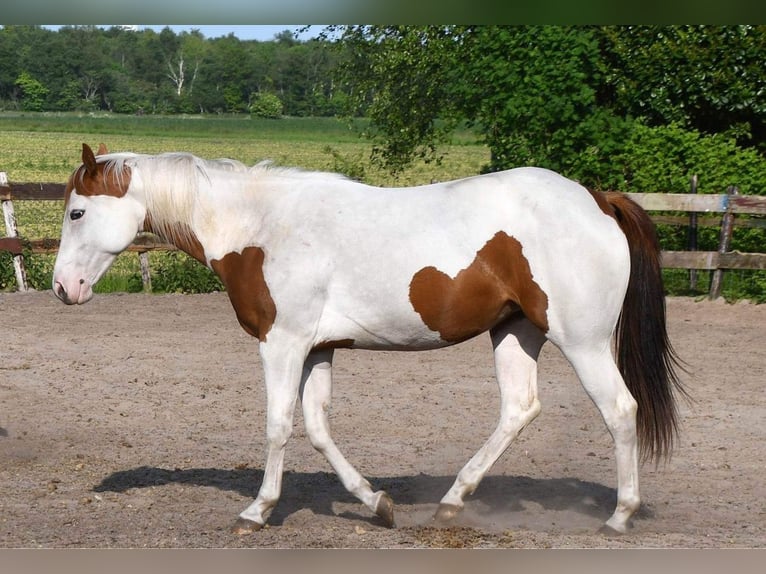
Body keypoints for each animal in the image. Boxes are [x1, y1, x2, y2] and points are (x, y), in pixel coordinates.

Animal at [52, 143, 685, 535]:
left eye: (77, 212)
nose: (63, 287)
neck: (261, 227)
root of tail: (597, 199)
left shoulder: (282, 343)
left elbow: (279, 425)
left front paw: (257, 511)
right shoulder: (318, 349)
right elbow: (317, 429)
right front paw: (376, 503)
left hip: (582, 341)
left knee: (620, 410)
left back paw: (619, 516)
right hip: (514, 331)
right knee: (518, 408)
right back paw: (453, 501)